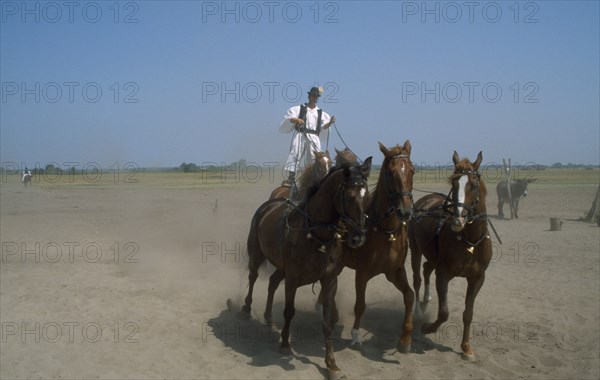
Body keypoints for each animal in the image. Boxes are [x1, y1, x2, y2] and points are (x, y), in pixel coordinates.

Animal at [241, 159, 372, 378]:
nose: (358, 238)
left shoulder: (329, 281)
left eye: (367, 196)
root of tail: (268, 205)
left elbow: (327, 323)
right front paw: (285, 344)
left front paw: (332, 365)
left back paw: (268, 317)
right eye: (350, 197)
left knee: (272, 282)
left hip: (281, 267)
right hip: (257, 253)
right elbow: (289, 311)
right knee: (252, 277)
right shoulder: (292, 278)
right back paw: (246, 308)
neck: (314, 233)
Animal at [408, 150, 492, 360]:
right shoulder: (443, 274)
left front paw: (466, 347)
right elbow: (444, 313)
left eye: (473, 185)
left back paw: (426, 301)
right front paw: (428, 328)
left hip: (432, 256)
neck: (470, 241)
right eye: (454, 184)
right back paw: (418, 313)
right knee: (417, 279)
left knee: (426, 269)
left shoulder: (477, 278)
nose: (457, 220)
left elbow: (468, 313)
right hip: (416, 250)